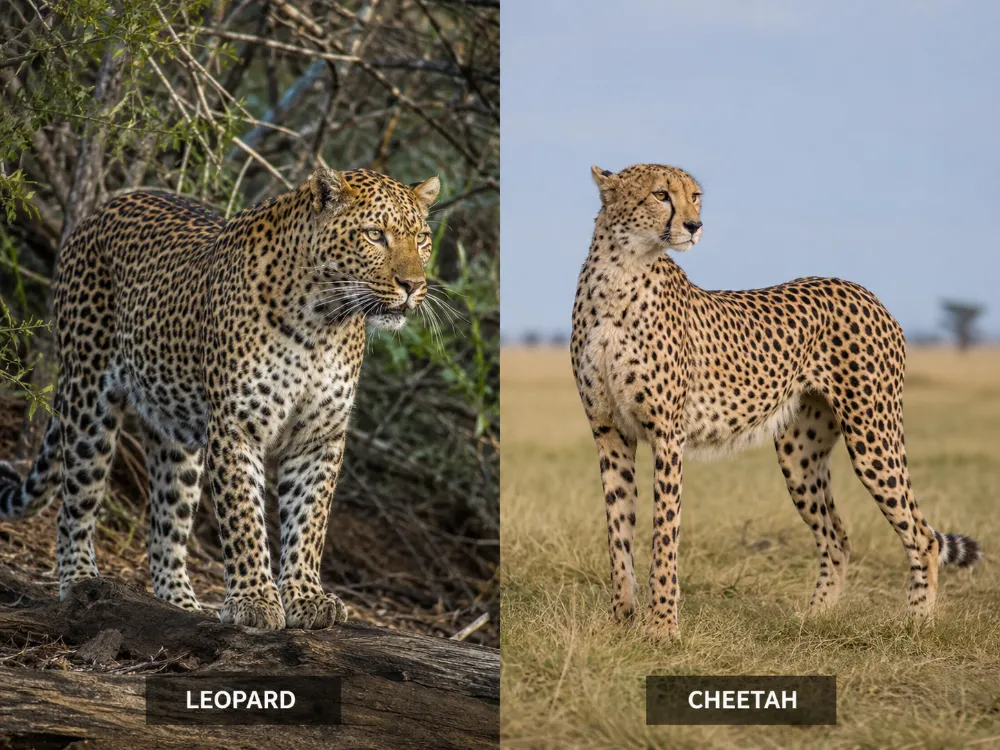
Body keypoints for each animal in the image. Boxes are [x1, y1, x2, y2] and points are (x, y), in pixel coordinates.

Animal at [0, 166, 440, 630]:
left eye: (422, 238)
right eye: (375, 235)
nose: (413, 286)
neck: (323, 323)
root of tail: (100, 210)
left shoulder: (319, 436)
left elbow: (309, 520)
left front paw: (306, 597)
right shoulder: (235, 427)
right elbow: (243, 517)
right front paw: (254, 601)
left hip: (174, 437)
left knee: (164, 529)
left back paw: (183, 606)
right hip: (88, 398)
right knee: (74, 504)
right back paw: (81, 582)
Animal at [570, 162, 981, 640]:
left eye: (695, 196)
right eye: (660, 195)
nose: (694, 225)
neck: (621, 272)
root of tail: (864, 291)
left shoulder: (667, 436)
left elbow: (663, 537)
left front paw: (662, 627)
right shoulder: (609, 432)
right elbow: (619, 532)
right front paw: (619, 620)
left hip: (872, 436)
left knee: (922, 535)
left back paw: (916, 623)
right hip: (799, 454)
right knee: (837, 537)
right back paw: (814, 618)